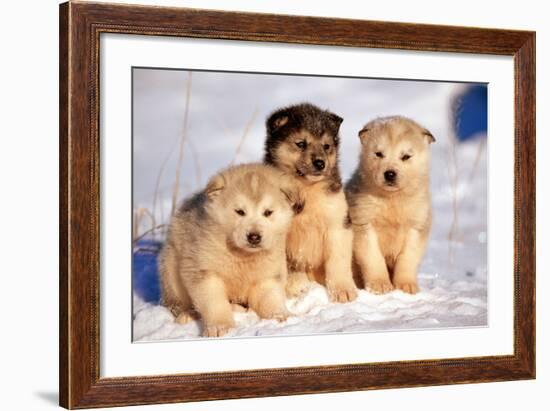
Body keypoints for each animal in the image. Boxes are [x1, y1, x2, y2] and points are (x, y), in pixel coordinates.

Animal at [160, 164, 300, 338]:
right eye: (240, 211)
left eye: (268, 212)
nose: (254, 236)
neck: (242, 256)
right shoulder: (204, 270)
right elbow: (214, 303)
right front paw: (221, 327)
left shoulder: (267, 275)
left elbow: (271, 298)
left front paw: (280, 317)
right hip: (171, 270)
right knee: (176, 304)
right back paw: (188, 315)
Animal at [266, 103, 360, 302]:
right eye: (301, 143)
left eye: (326, 146)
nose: (320, 163)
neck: (307, 189)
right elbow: (287, 264)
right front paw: (295, 285)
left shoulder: (338, 222)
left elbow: (338, 260)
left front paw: (343, 291)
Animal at [350, 117, 436, 294]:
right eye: (378, 154)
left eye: (406, 156)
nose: (389, 174)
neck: (392, 200)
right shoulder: (363, 222)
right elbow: (373, 257)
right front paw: (380, 286)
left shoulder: (417, 224)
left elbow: (408, 258)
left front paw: (406, 286)